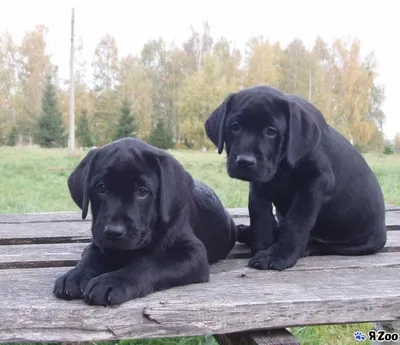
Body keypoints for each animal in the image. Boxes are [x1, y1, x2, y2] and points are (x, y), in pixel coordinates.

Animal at [51, 137, 236, 304]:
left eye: (142, 192)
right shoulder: (98, 241)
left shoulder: (193, 253)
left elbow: (151, 263)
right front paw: (76, 275)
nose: (113, 232)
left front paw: (112, 281)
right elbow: (91, 256)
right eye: (101, 187)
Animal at [205, 84, 386, 270]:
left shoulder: (314, 185)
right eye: (235, 126)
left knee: (319, 244)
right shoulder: (259, 185)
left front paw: (278, 254)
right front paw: (262, 244)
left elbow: (296, 222)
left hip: (357, 244)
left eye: (271, 131)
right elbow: (260, 214)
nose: (245, 161)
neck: (282, 167)